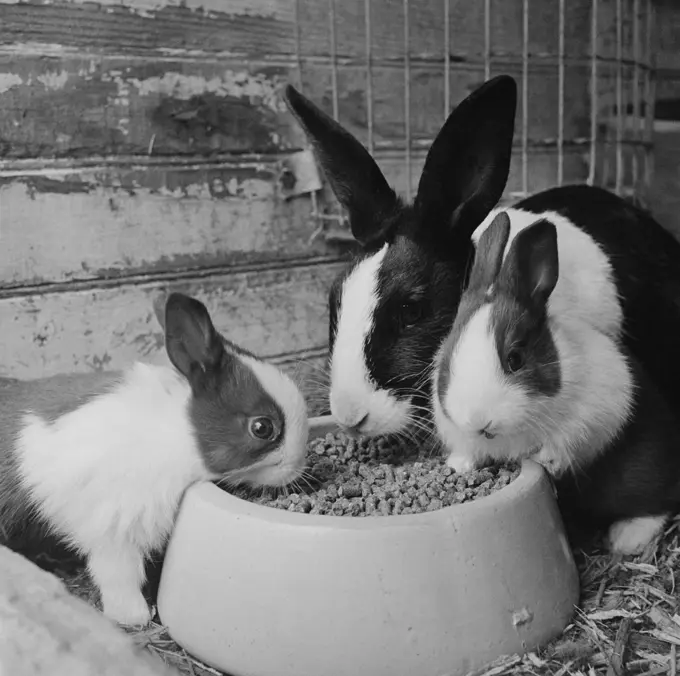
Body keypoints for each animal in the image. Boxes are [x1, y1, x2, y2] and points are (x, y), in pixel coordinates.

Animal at [0, 294, 308, 624]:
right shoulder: (116, 527)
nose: (298, 466)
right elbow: (119, 575)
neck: (178, 435)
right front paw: (136, 617)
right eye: (262, 428)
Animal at [432, 211, 680, 556]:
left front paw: (545, 461)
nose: (478, 420)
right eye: (448, 350)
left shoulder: (591, 417)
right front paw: (458, 465)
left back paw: (626, 538)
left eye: (515, 358)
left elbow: (565, 445)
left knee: (661, 500)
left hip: (647, 472)